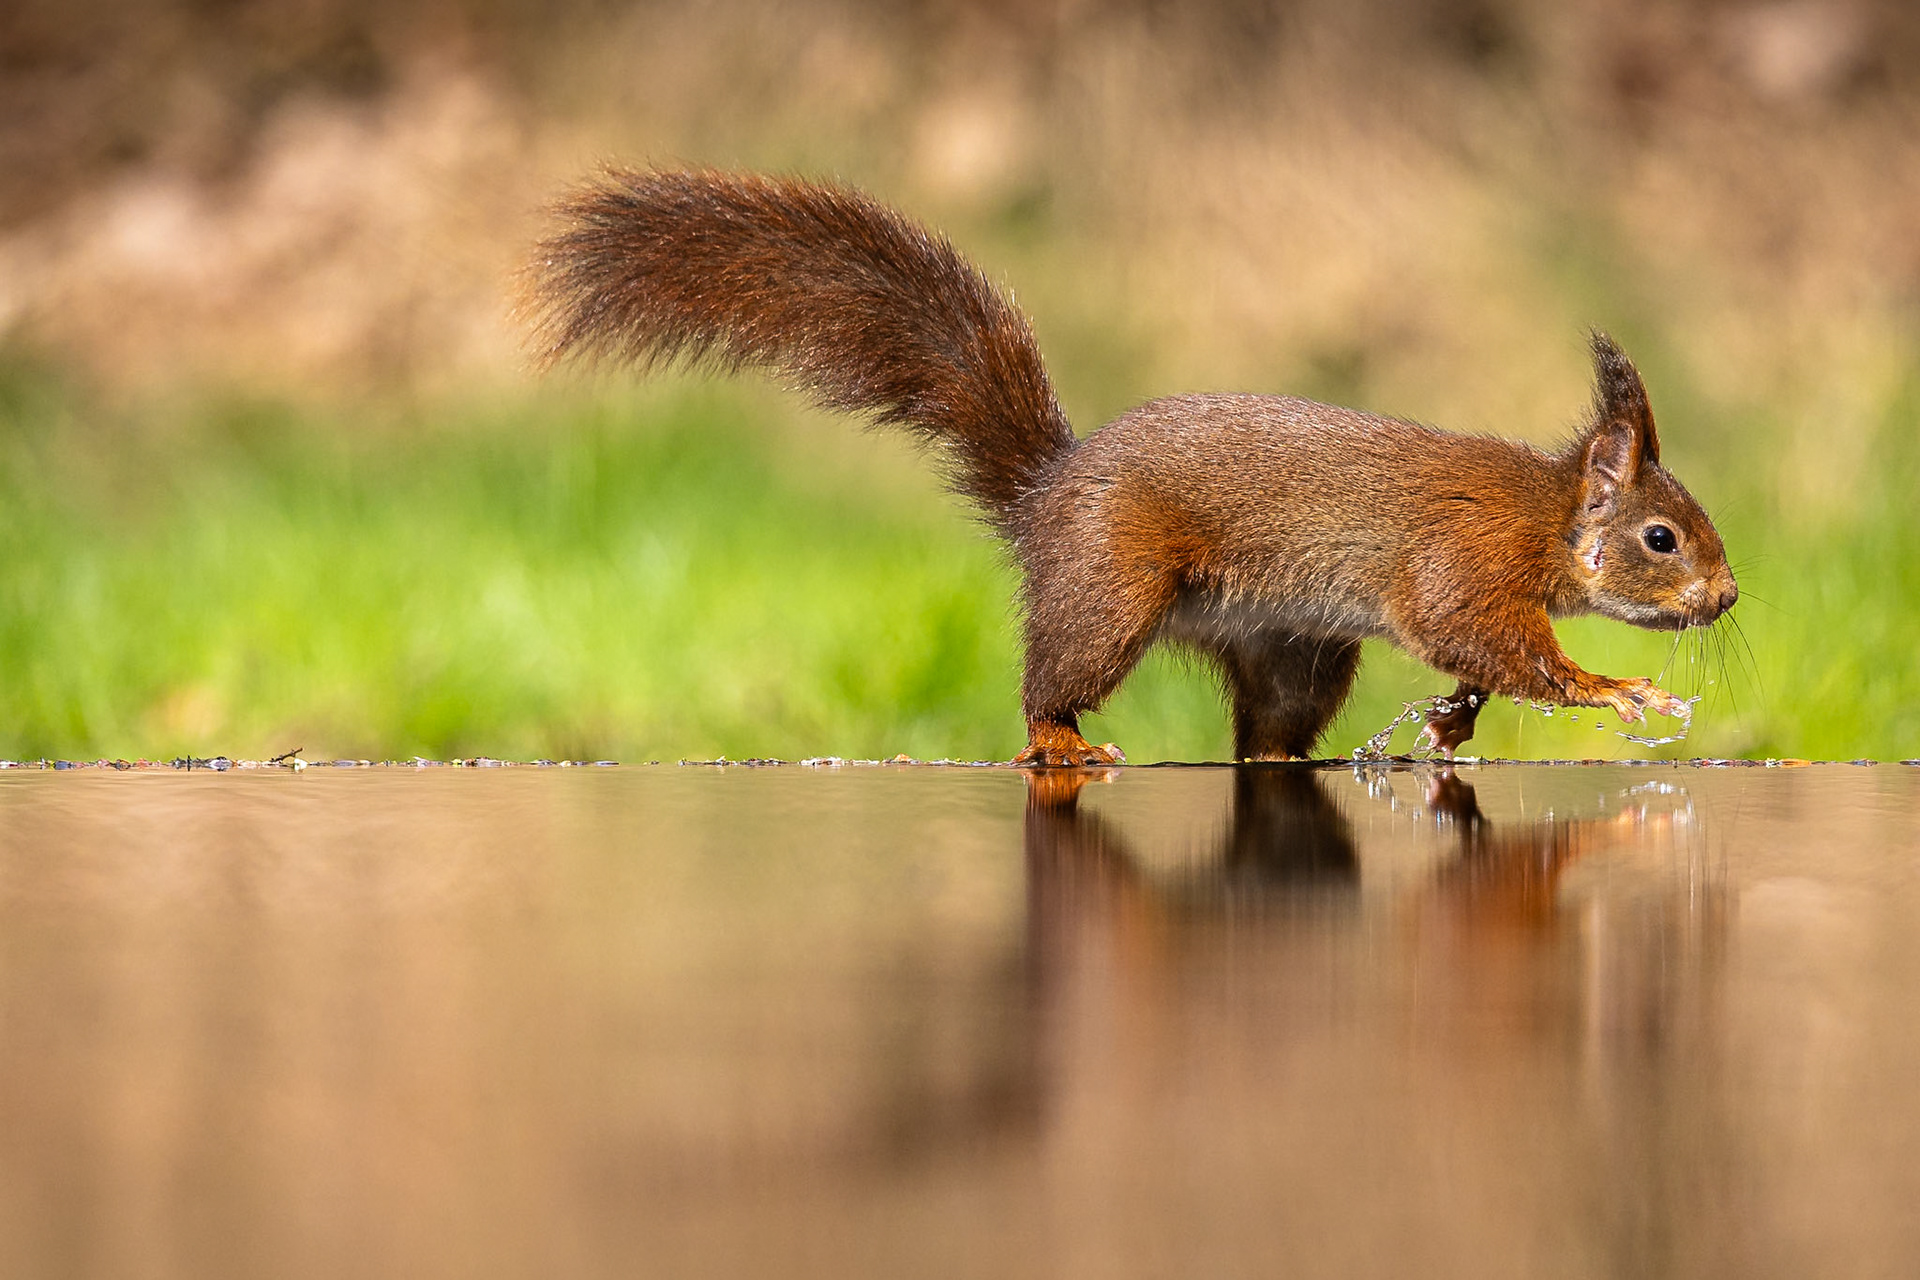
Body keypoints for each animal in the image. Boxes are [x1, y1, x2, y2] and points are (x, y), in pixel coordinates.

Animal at [526, 169, 1738, 766]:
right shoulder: (1464, 556)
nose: (1727, 597)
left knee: (1268, 734)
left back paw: (1282, 765)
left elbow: (1479, 660)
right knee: (1053, 681)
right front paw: (1616, 687)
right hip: (1112, 589)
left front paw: (1453, 725)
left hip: (1296, 652)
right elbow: (1493, 639)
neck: (1544, 516)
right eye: (1662, 536)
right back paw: (1059, 740)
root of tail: (1045, 495)